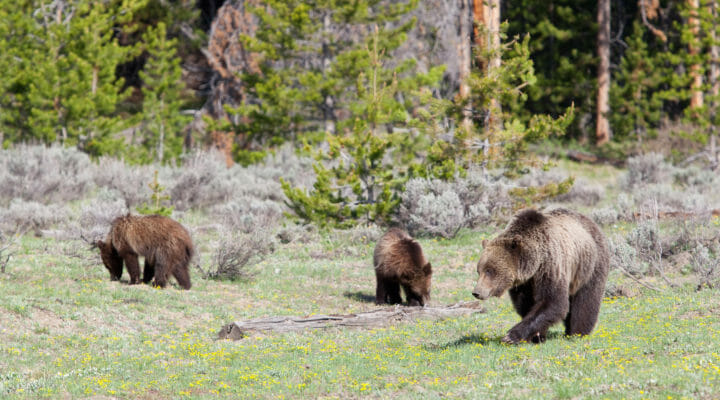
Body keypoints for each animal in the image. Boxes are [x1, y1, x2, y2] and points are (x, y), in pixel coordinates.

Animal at [472, 208, 608, 342]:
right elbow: (526, 304)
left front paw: (511, 336)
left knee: (586, 300)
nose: (476, 292)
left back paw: (577, 333)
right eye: (479, 270)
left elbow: (552, 302)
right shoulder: (524, 283)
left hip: (589, 265)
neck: (535, 264)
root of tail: (592, 223)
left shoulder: (551, 267)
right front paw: (537, 336)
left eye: (490, 270)